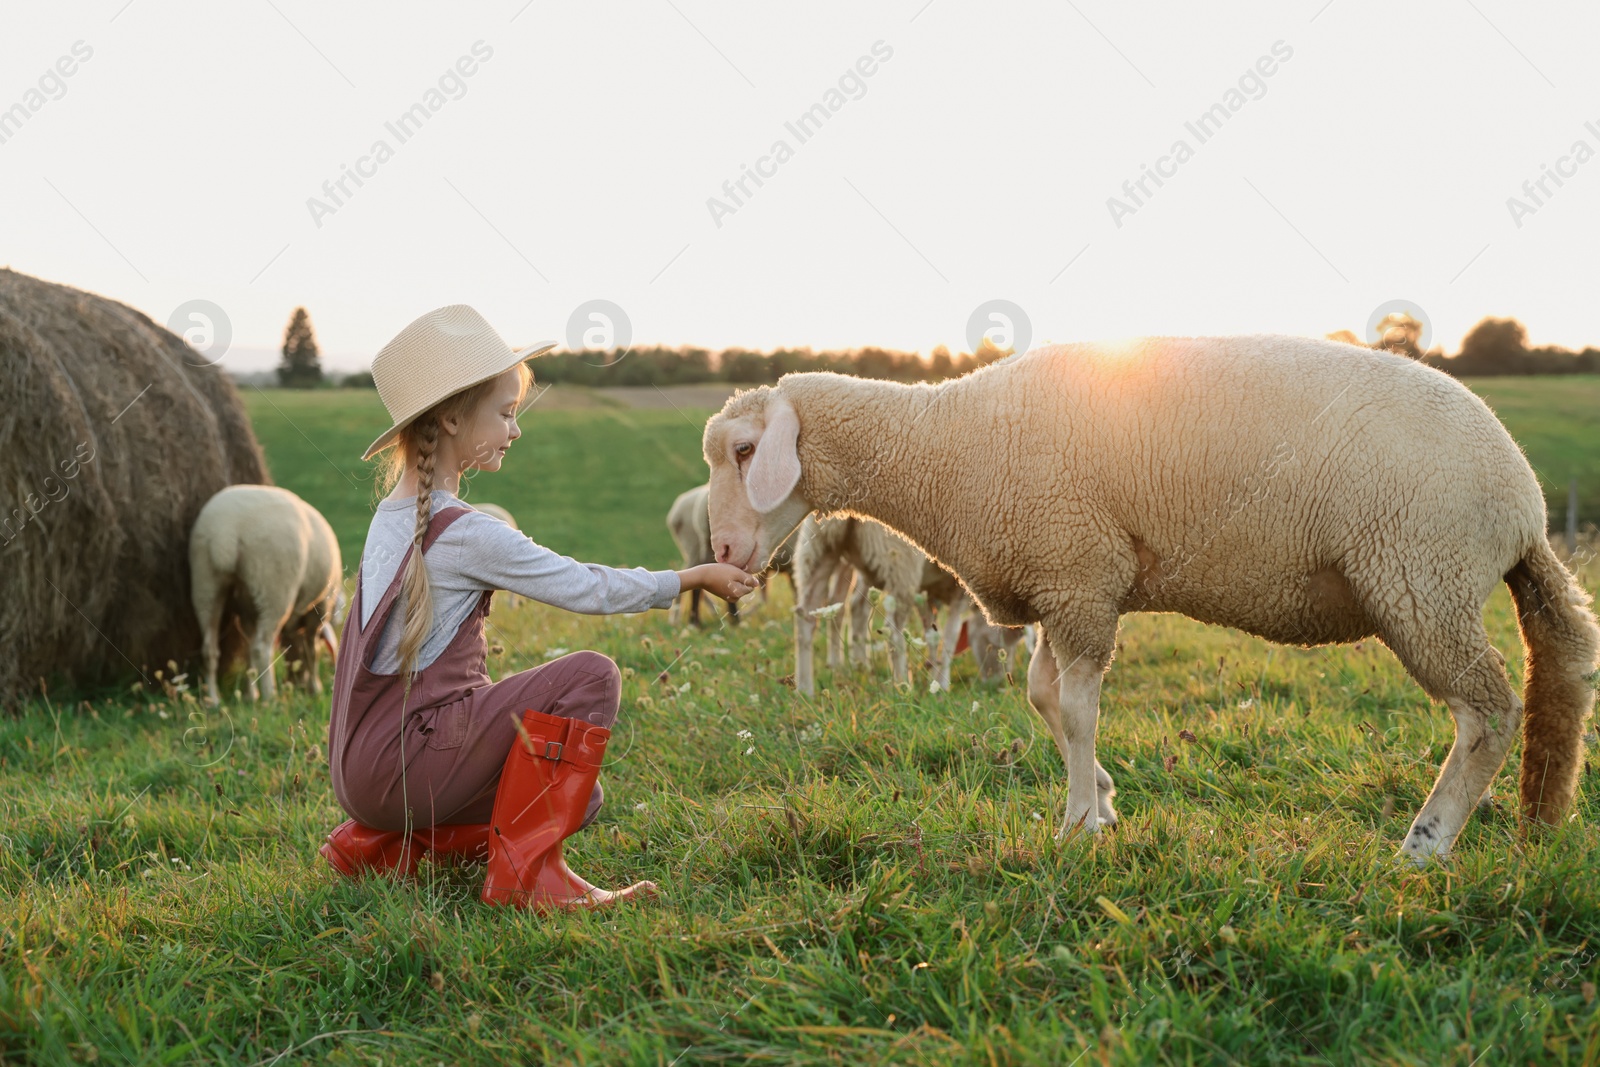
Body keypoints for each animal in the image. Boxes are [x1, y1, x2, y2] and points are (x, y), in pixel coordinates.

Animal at [192, 486, 345, 703]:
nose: (296, 684)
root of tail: (226, 531)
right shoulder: (319, 610)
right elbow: (311, 650)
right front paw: (315, 688)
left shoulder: (247, 612)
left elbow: (249, 650)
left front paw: (249, 693)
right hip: (274, 587)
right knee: (262, 647)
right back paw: (270, 697)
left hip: (205, 583)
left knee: (210, 648)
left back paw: (213, 700)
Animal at [704, 337, 1600, 863]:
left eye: (747, 450)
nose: (724, 555)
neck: (943, 445)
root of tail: (1525, 504)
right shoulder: (1062, 580)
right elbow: (1043, 697)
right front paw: (1099, 798)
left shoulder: (1079, 574)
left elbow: (1075, 707)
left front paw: (1076, 824)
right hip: (1432, 581)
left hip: (1421, 577)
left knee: (1488, 712)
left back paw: (1426, 842)